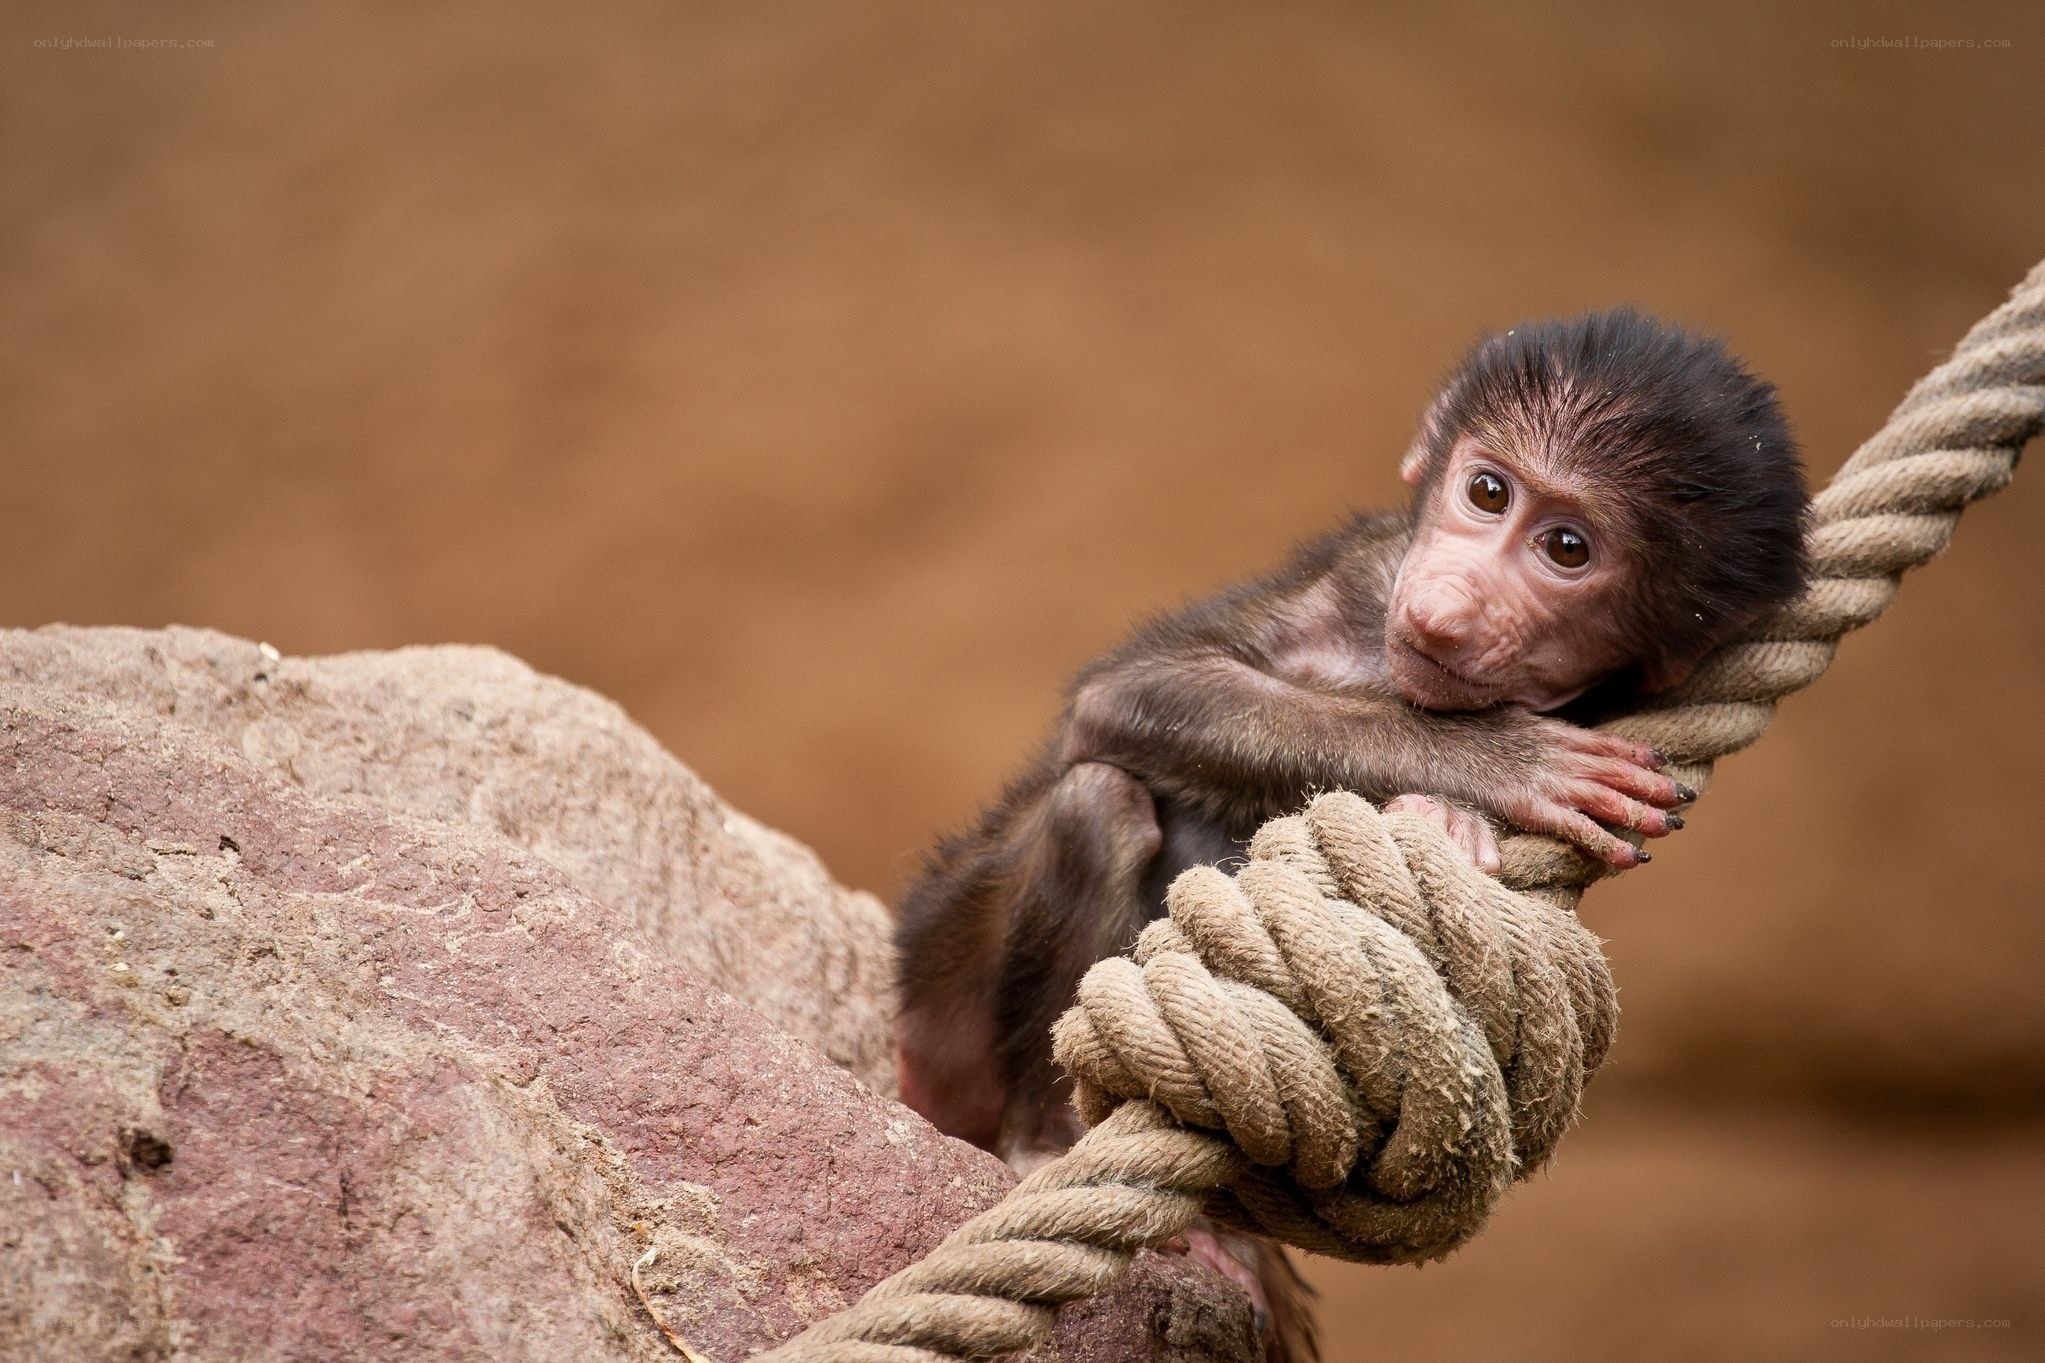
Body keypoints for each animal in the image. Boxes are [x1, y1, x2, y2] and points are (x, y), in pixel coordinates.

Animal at [892, 309, 1809, 1358]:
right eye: (1486, 491)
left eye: (1567, 548)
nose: (1449, 604)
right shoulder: (1367, 572)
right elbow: (1129, 693)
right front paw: (1489, 765)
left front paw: (1444, 803)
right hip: (948, 975)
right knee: (1098, 802)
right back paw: (1047, 1140)